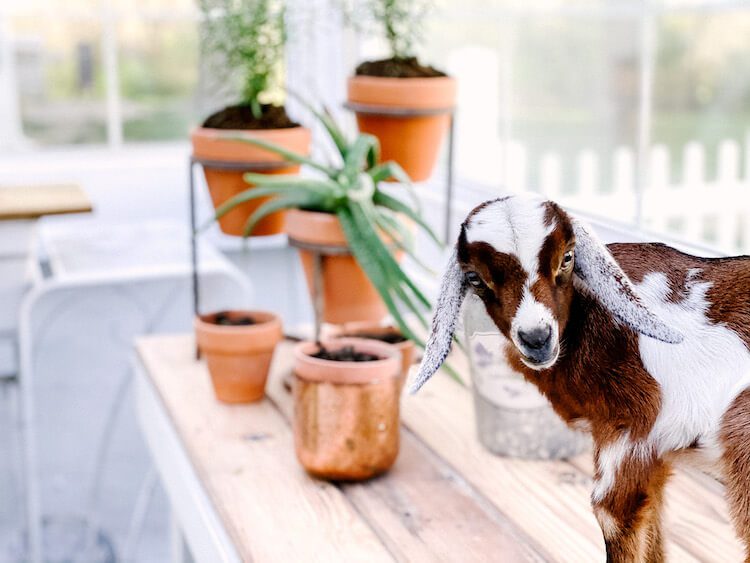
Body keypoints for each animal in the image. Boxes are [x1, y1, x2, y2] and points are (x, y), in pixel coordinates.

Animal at [414, 196, 750, 560]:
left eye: (567, 257)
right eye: (474, 277)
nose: (536, 338)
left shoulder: (627, 438)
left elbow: (614, 517)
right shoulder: (654, 457)